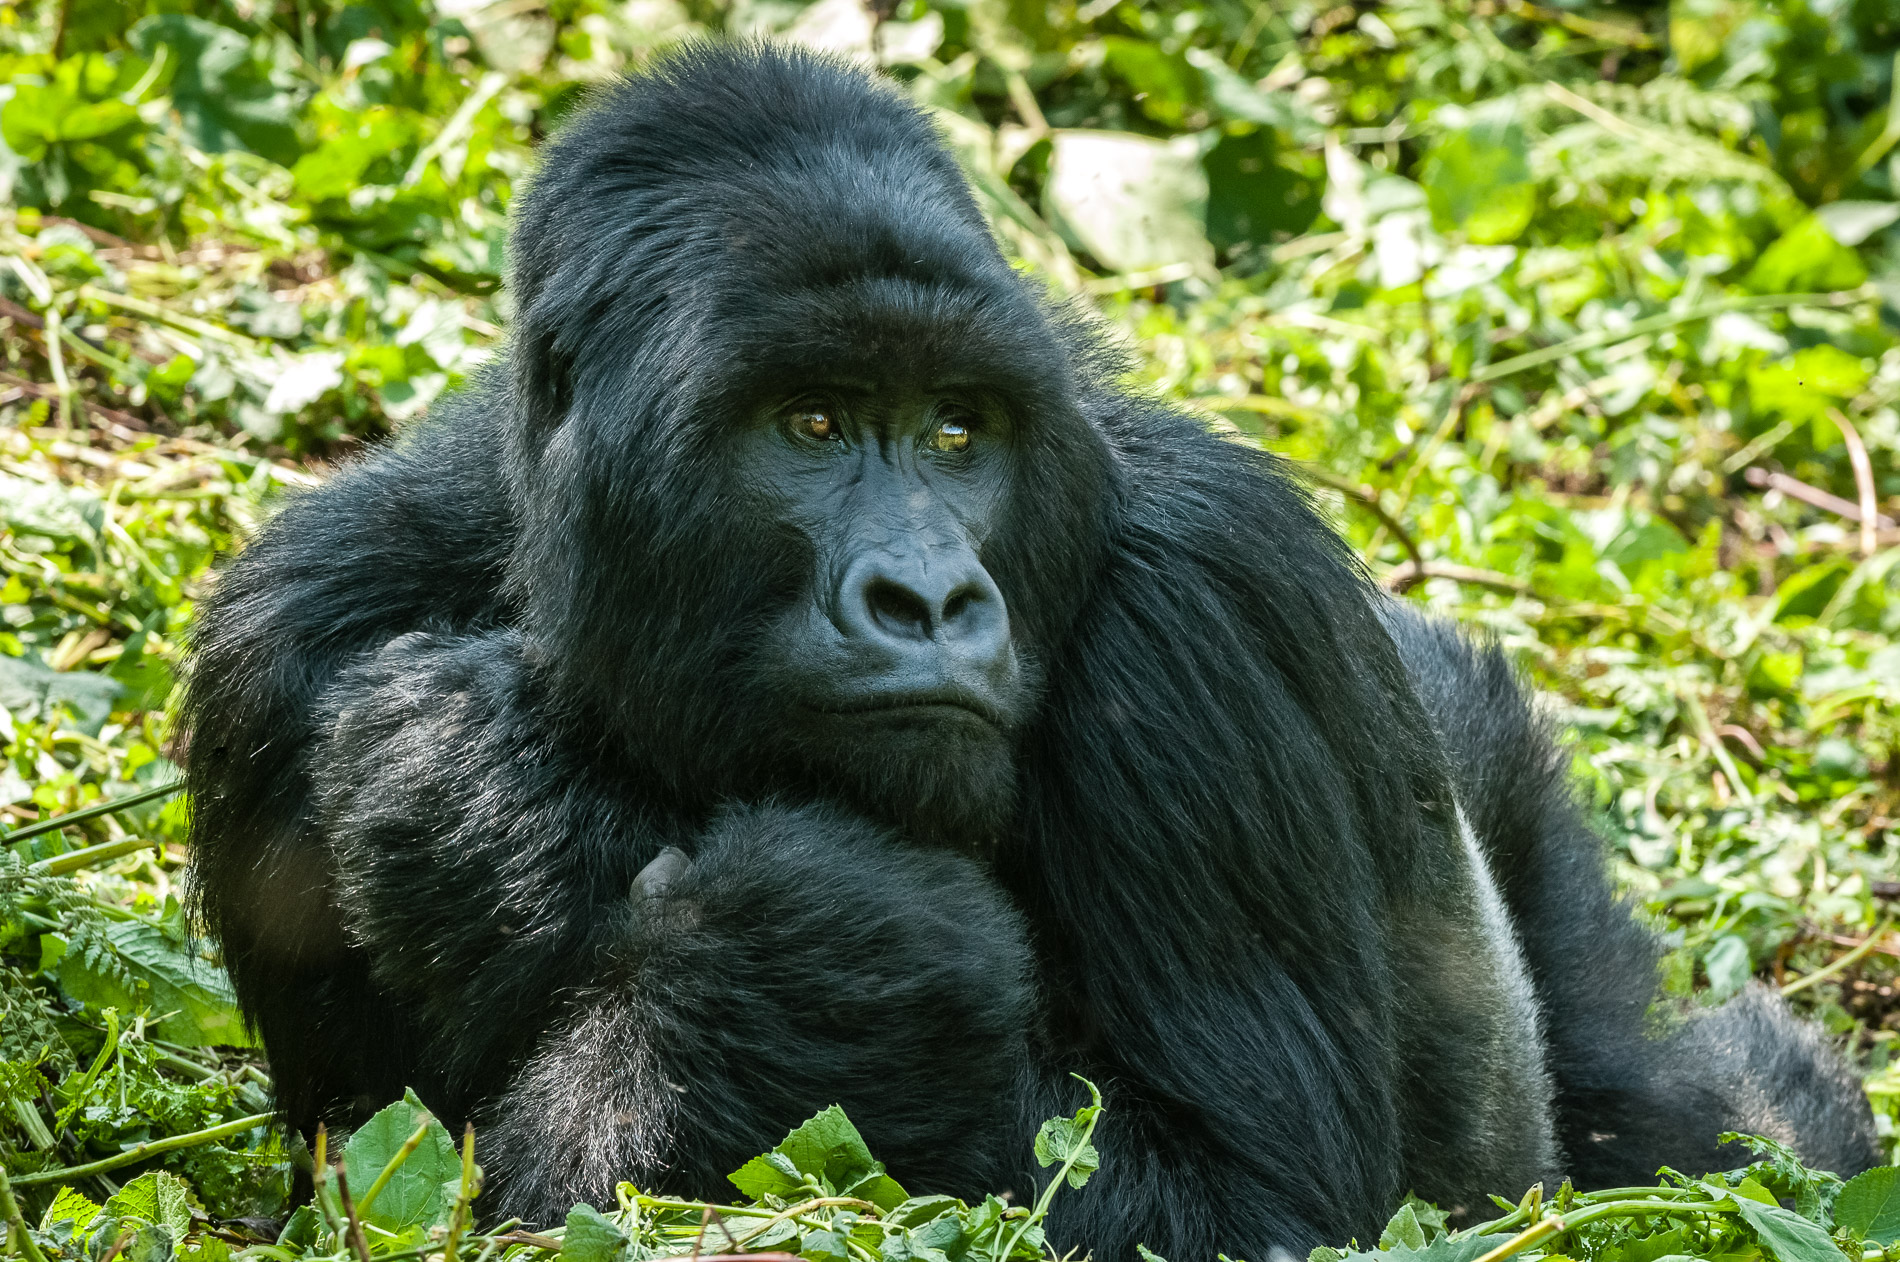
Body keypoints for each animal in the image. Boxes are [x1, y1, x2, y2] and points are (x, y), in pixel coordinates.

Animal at [181, 39, 1884, 1262]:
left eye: (958, 431)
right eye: (809, 424)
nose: (930, 599)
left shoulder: (1204, 610)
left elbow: (1253, 1203)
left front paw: (783, 947)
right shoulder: (287, 630)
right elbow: (397, 1178)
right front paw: (513, 819)